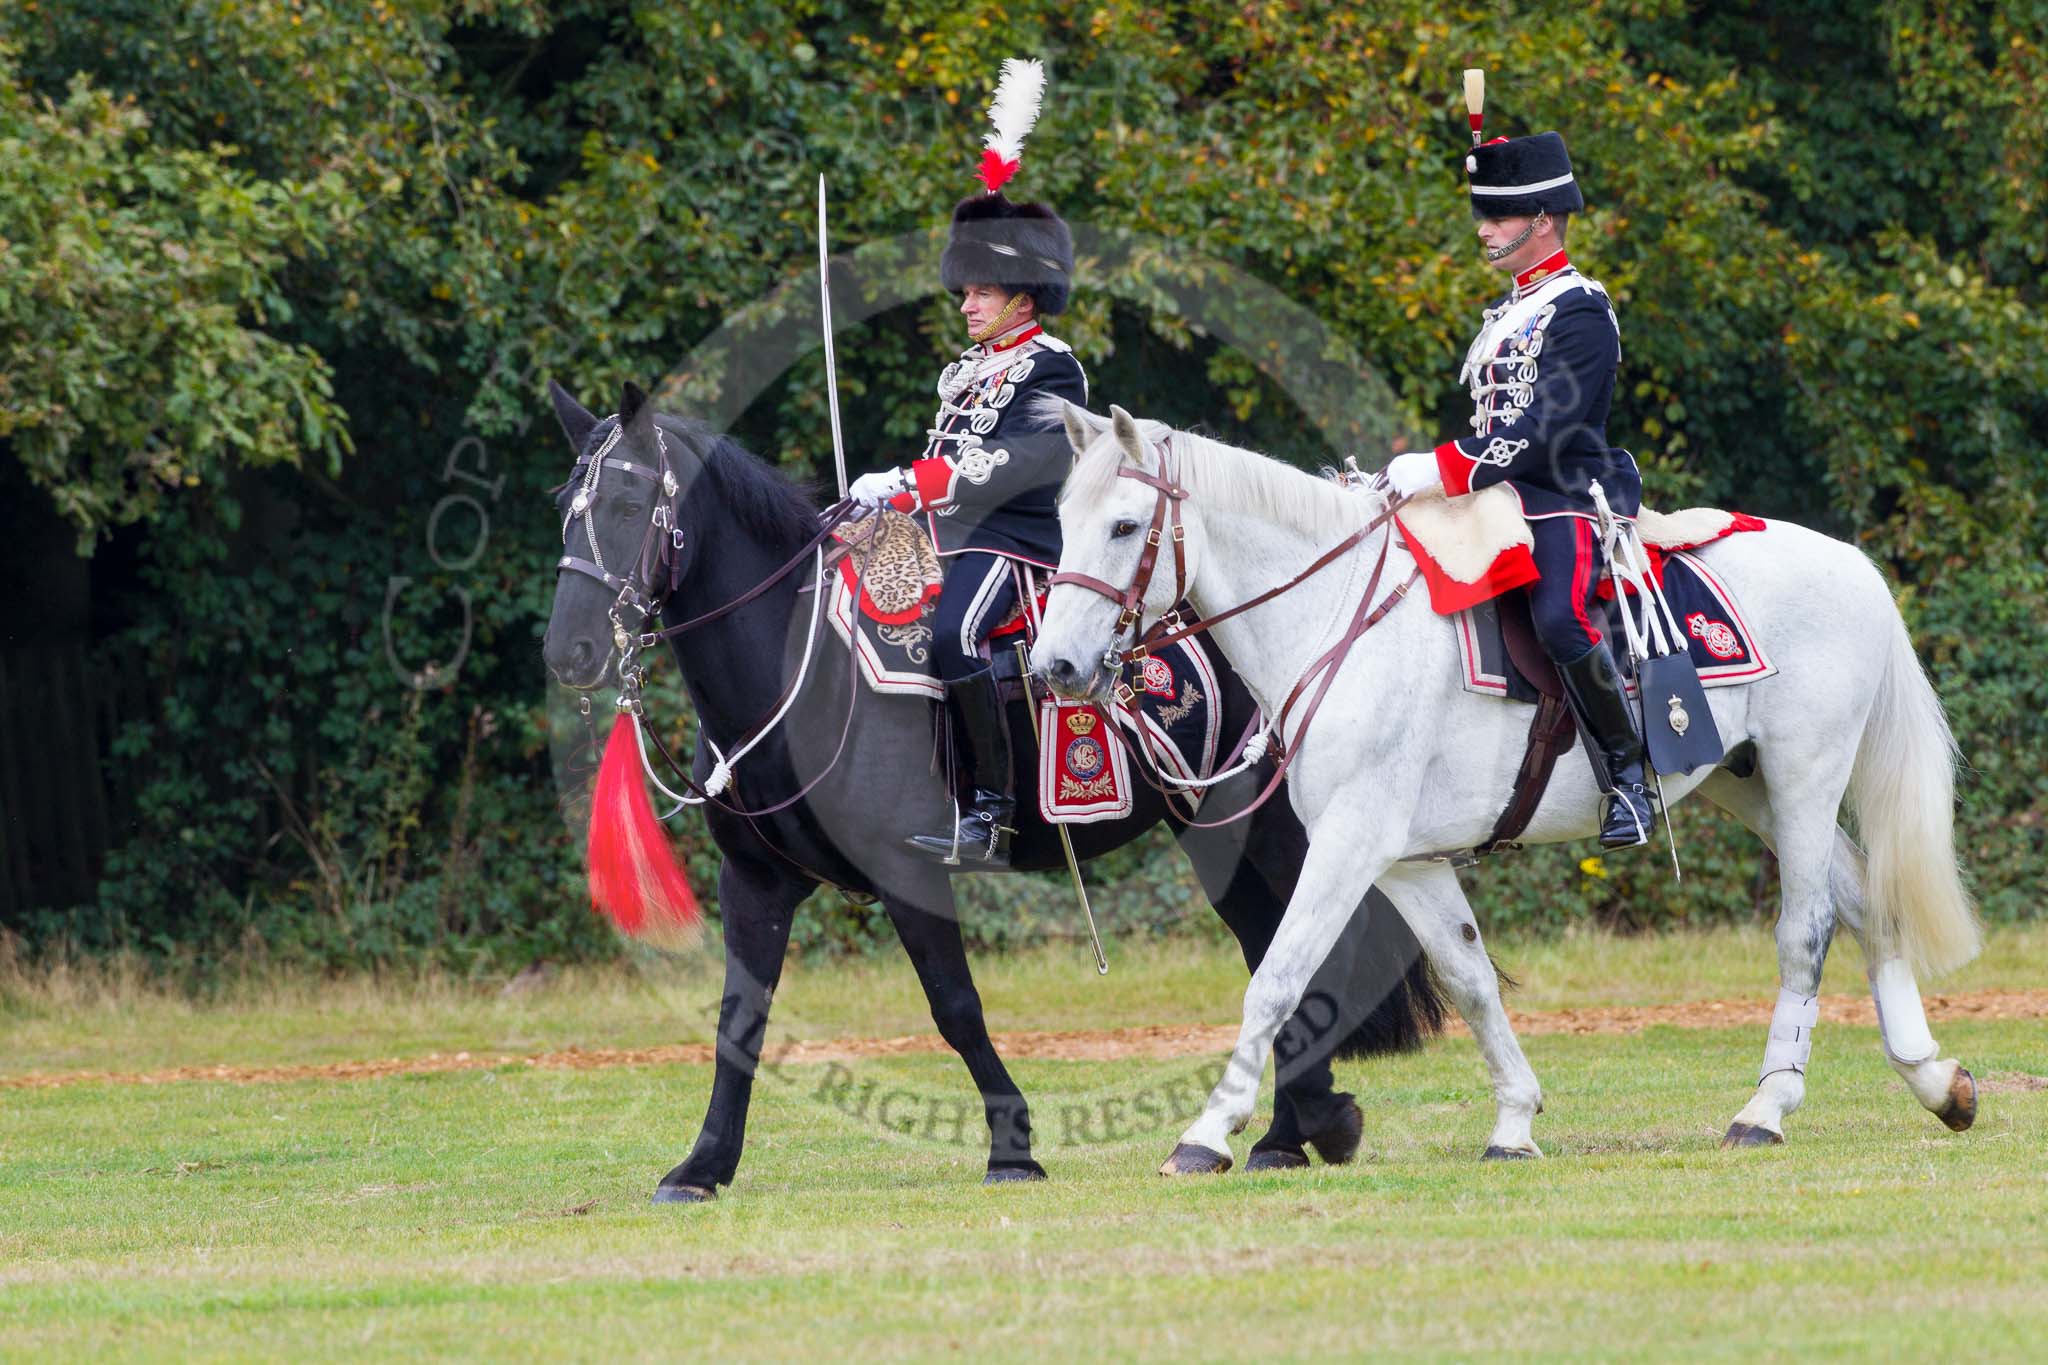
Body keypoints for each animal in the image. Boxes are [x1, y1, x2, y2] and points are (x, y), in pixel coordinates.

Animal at [540, 378, 1441, 1203]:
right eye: (564, 507)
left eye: (627, 501)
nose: (568, 650)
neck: (799, 669)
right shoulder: (755, 880)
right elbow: (740, 1019)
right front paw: (702, 1166)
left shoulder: (908, 871)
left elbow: (955, 1006)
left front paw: (1013, 1146)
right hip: (1212, 830)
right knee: (1269, 945)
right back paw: (1285, 1133)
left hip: (1269, 823)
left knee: (1303, 953)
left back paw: (1302, 1124)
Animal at [1032, 405, 1974, 1178]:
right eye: (1062, 522)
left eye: (1124, 525)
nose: (1055, 667)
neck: (1336, 615)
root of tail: (1851, 562)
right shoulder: (1406, 862)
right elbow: (1471, 977)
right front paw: (1516, 1121)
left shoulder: (1349, 841)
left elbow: (1276, 979)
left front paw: (1207, 1132)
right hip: (1747, 786)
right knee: (1868, 903)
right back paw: (1935, 1079)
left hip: (1805, 774)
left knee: (1808, 928)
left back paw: (1766, 1108)